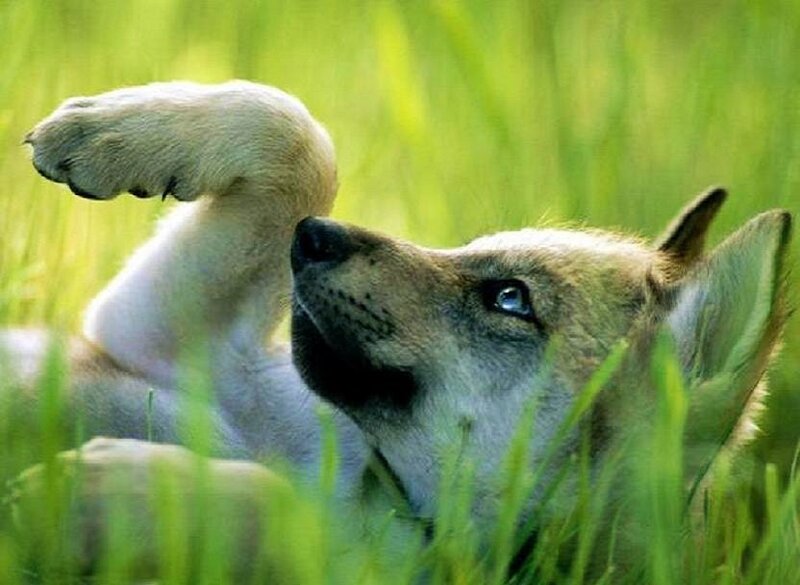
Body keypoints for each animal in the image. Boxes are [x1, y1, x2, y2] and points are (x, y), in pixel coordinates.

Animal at [2, 81, 792, 579]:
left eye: (510, 299)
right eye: (471, 251)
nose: (311, 236)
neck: (370, 478)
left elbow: (285, 516)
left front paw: (119, 494)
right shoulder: (156, 336)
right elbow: (295, 131)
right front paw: (100, 131)